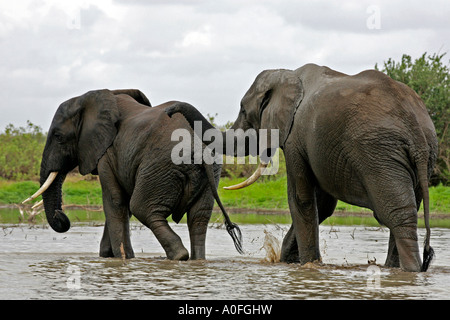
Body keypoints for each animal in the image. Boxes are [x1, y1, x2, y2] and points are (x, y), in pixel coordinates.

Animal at [22, 89, 243, 262]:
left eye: (58, 137)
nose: (60, 215)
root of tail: (197, 146)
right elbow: (122, 203)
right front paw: (108, 256)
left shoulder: (107, 153)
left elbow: (115, 201)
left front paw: (123, 258)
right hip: (209, 172)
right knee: (198, 217)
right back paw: (197, 259)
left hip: (160, 166)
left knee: (142, 207)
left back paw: (179, 255)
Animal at [165, 63, 436, 272]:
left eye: (244, 110)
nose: (169, 110)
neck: (288, 75)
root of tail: (416, 130)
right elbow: (322, 204)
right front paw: (289, 261)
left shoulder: (295, 136)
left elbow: (301, 199)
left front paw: (306, 265)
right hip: (411, 156)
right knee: (407, 209)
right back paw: (394, 270)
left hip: (378, 153)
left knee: (397, 214)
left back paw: (410, 270)